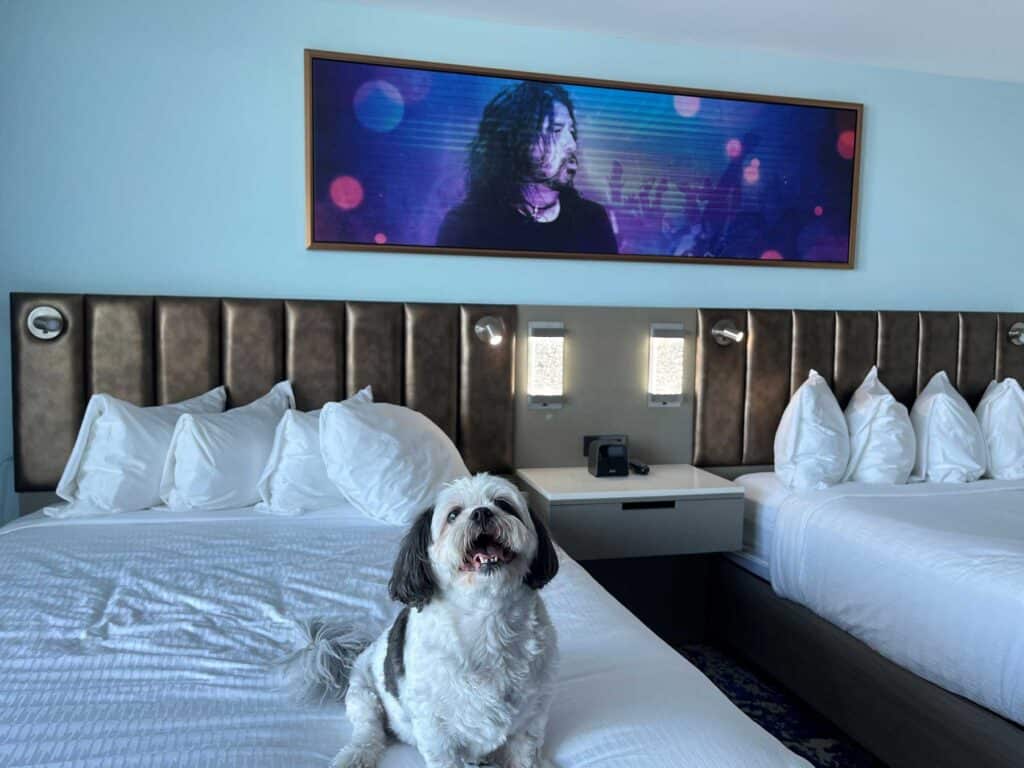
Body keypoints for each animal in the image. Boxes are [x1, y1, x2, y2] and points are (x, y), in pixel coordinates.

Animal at [296, 475, 565, 768]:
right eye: (453, 515)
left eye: (504, 505)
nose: (482, 512)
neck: (486, 620)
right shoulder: (436, 730)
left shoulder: (531, 717)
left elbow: (525, 754)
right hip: (363, 693)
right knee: (369, 730)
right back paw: (357, 754)